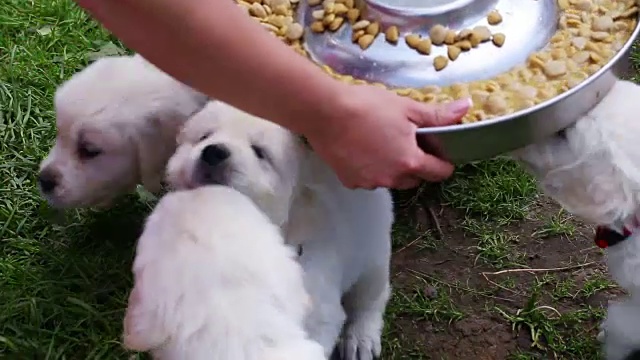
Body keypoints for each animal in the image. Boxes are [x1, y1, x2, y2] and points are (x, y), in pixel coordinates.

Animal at [166, 100, 396, 360]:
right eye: (204, 137)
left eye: (259, 151)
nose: (213, 152)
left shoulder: (318, 314)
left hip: (373, 252)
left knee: (371, 297)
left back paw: (361, 338)